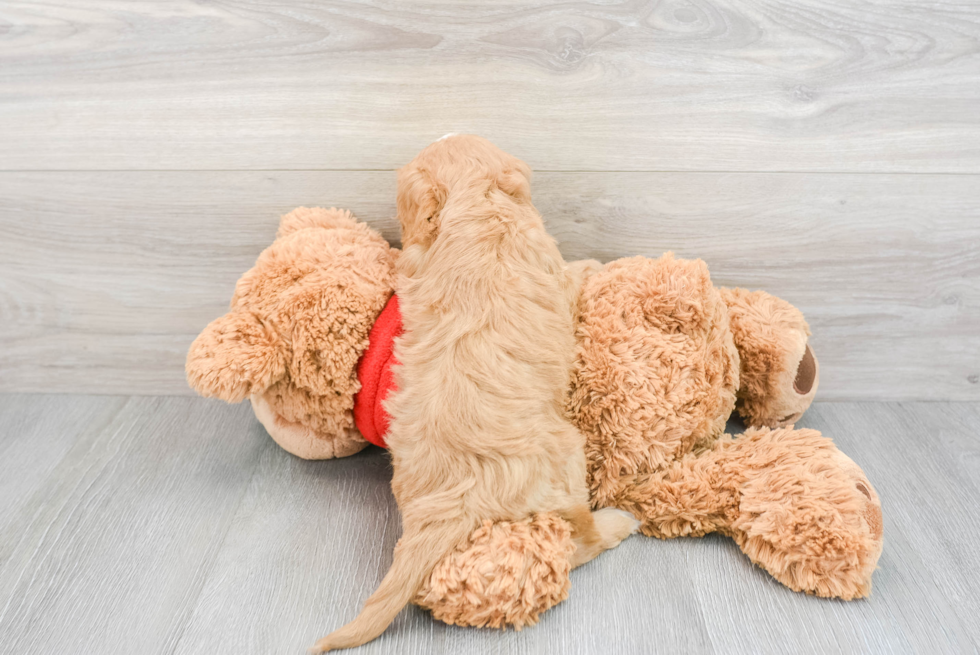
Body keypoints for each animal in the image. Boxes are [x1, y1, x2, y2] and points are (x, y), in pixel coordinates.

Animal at [310, 136, 640, 652]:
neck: (475, 207)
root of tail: (456, 501)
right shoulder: (551, 267)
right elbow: (573, 273)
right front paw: (594, 264)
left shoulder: (415, 261)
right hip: (568, 461)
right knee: (579, 539)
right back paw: (617, 522)